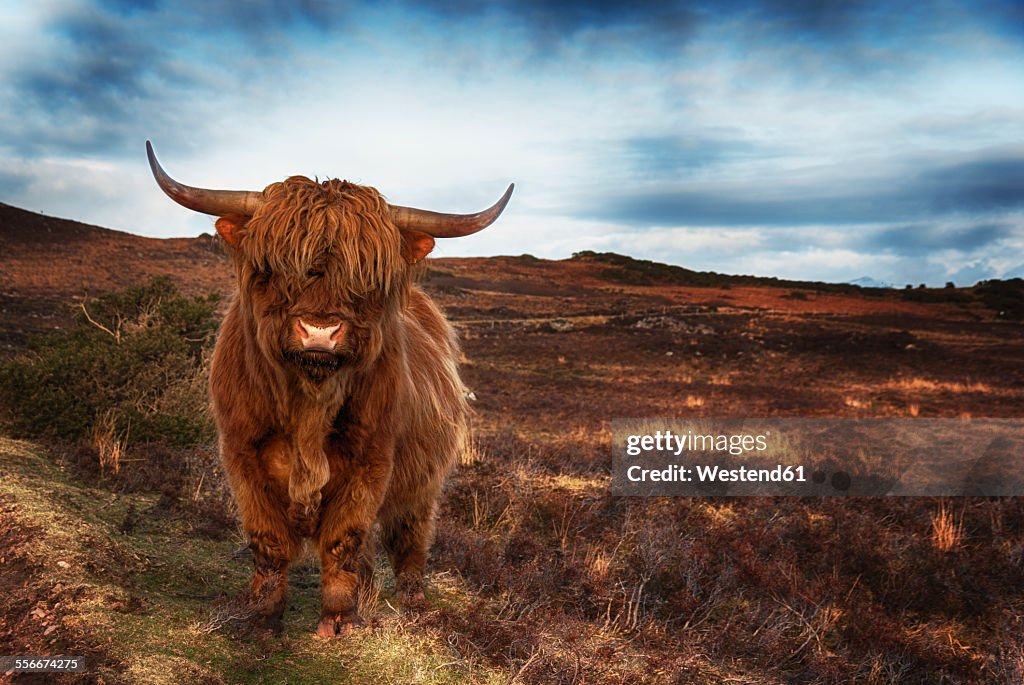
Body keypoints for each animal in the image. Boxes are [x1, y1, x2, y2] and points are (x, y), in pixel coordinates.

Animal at [144, 141, 512, 638]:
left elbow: (344, 540)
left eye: (368, 278)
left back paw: (413, 601)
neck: (309, 404)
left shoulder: (371, 461)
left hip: (423, 484)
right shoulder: (242, 455)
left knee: (408, 538)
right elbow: (269, 543)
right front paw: (262, 619)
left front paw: (339, 621)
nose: (320, 331)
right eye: (273, 268)